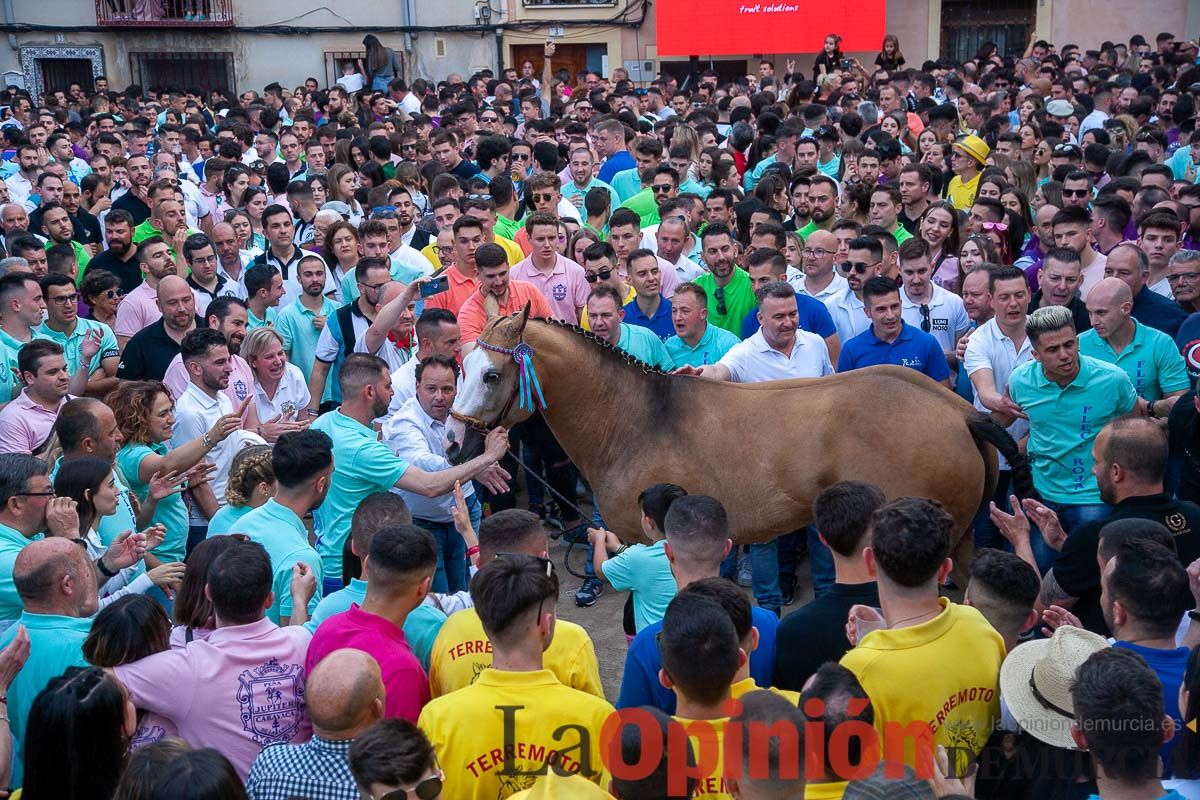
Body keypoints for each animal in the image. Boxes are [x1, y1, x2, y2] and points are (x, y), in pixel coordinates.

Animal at [446, 309, 1036, 566]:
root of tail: (960, 414)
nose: (454, 440)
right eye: (462, 366)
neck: (638, 421)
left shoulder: (645, 540)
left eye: (491, 375)